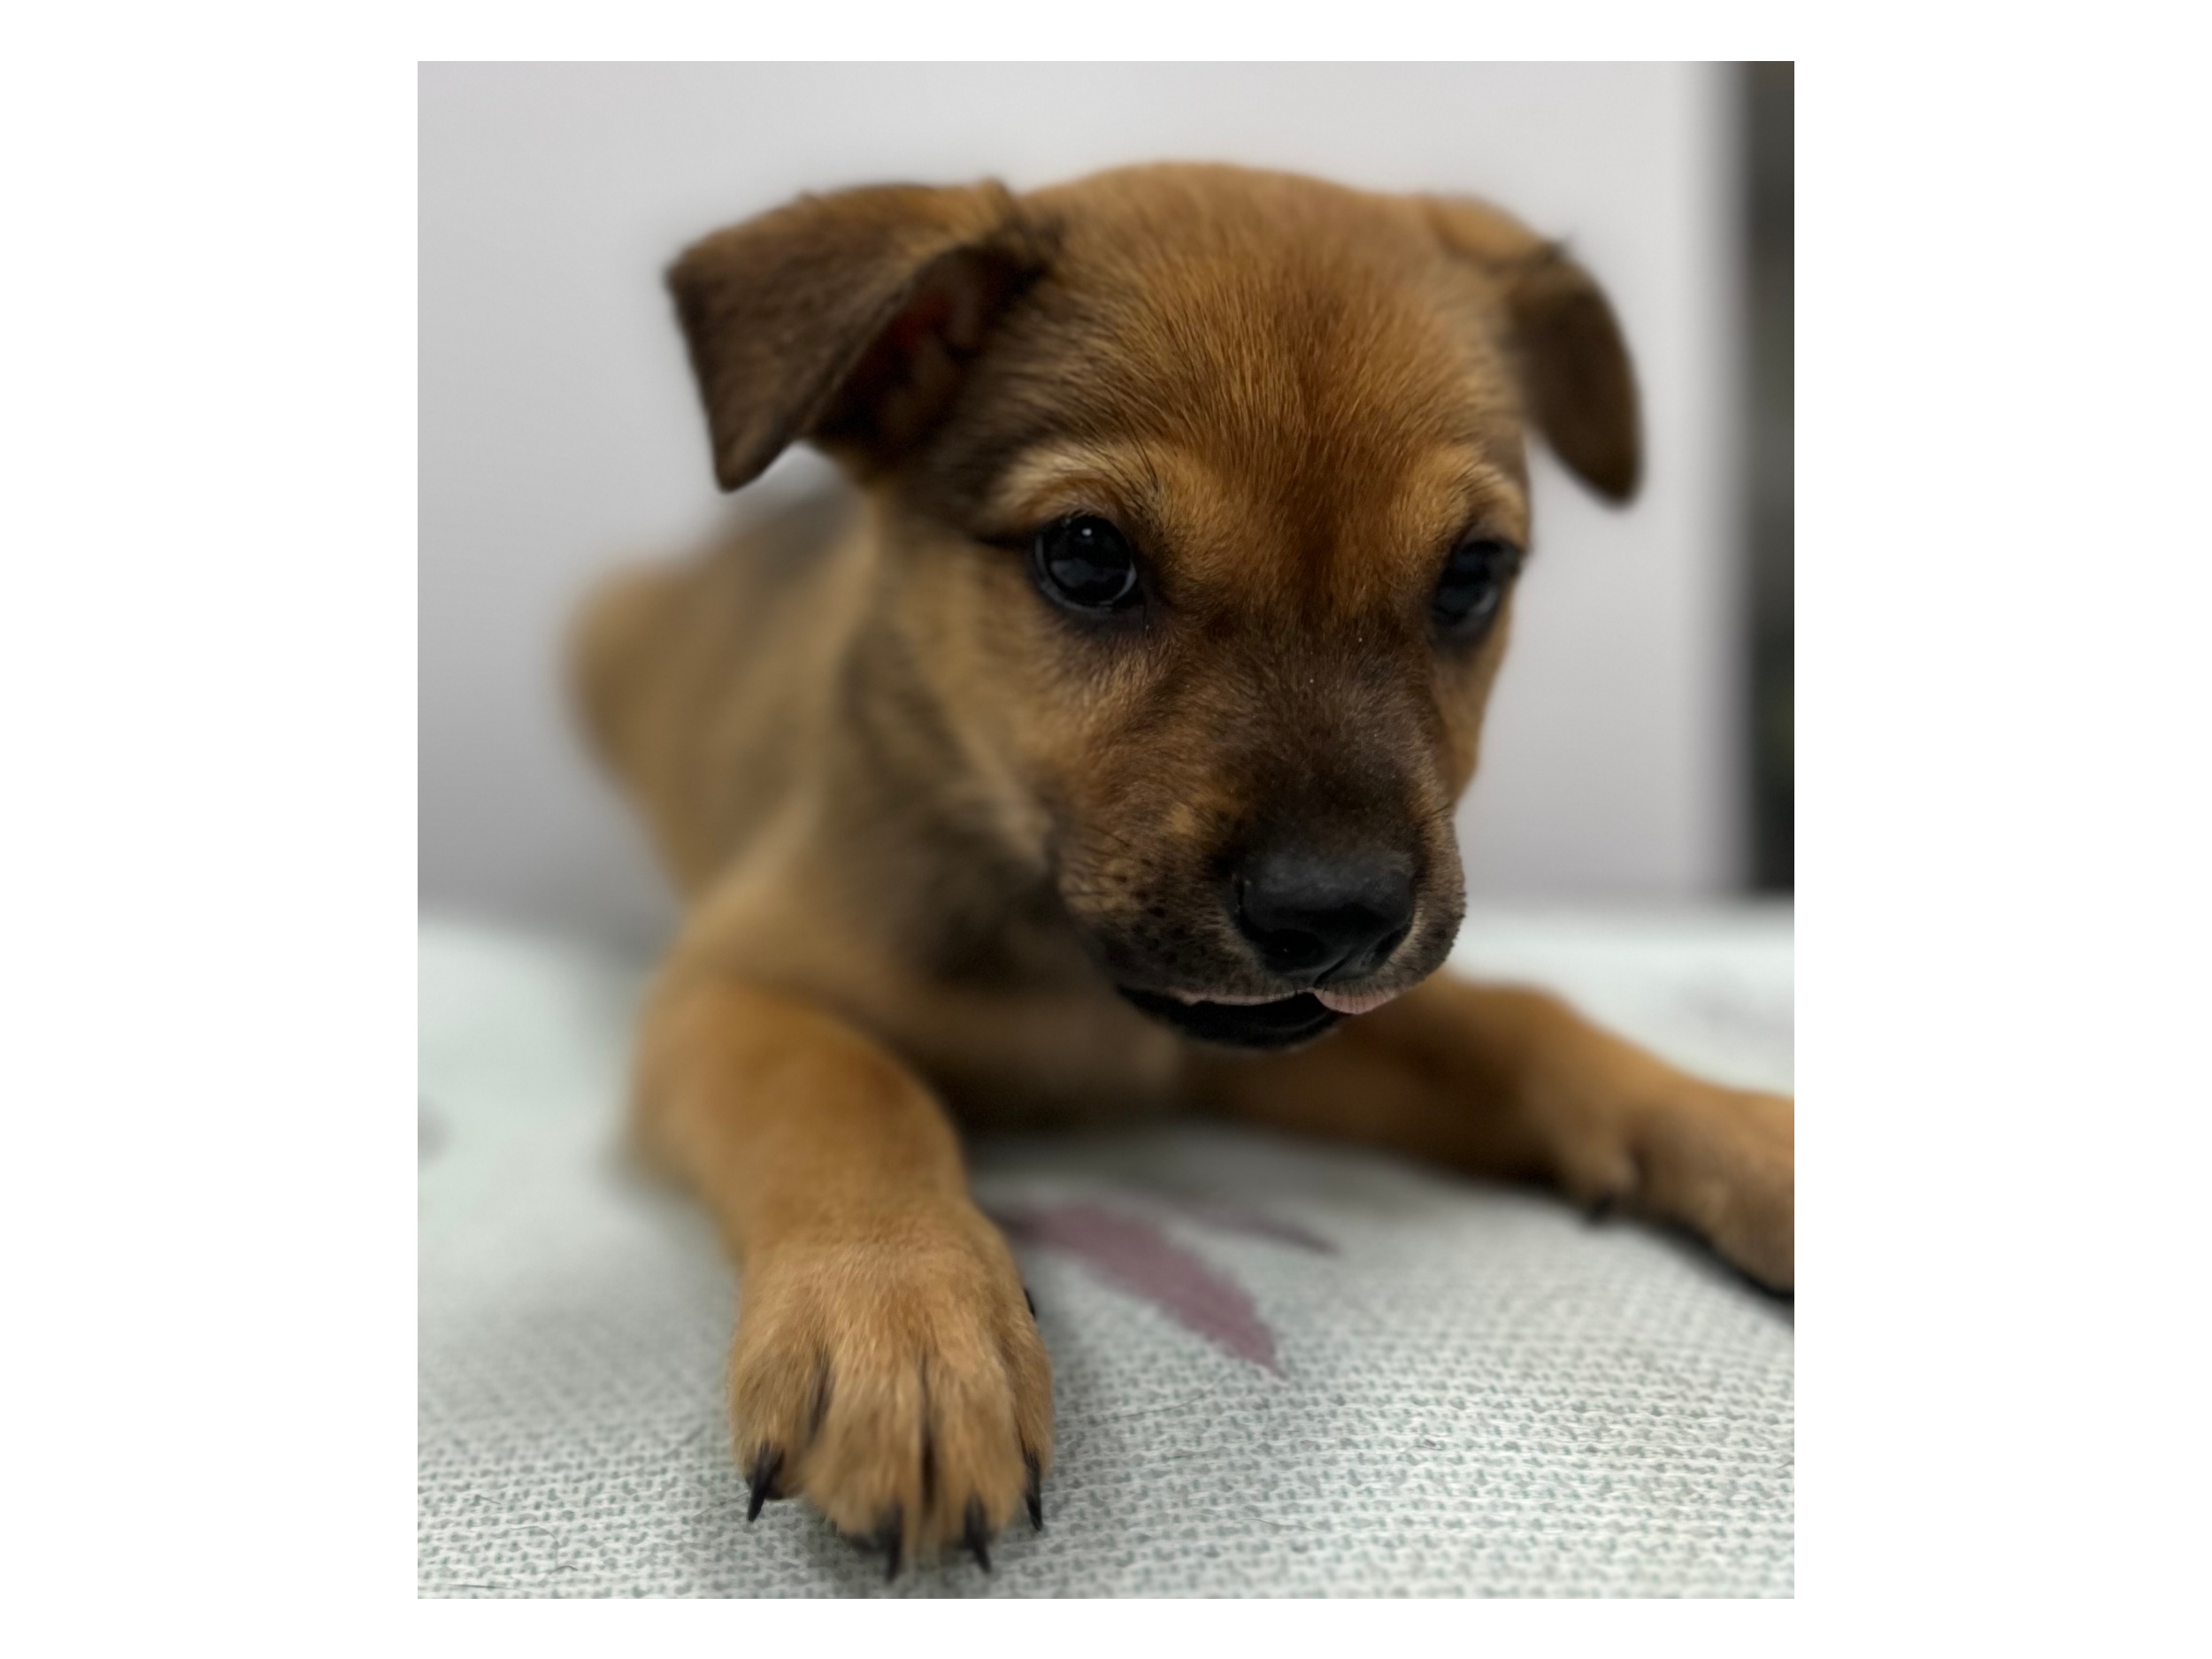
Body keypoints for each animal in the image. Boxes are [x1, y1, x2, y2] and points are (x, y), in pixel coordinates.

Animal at [569, 162, 1794, 1577]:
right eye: (1088, 556)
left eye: (1473, 575)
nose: (1338, 917)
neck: (1056, 964)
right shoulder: (727, 986)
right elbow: (843, 1085)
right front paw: (902, 1322)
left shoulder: (1285, 1041)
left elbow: (1526, 1025)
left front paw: (1754, 1137)